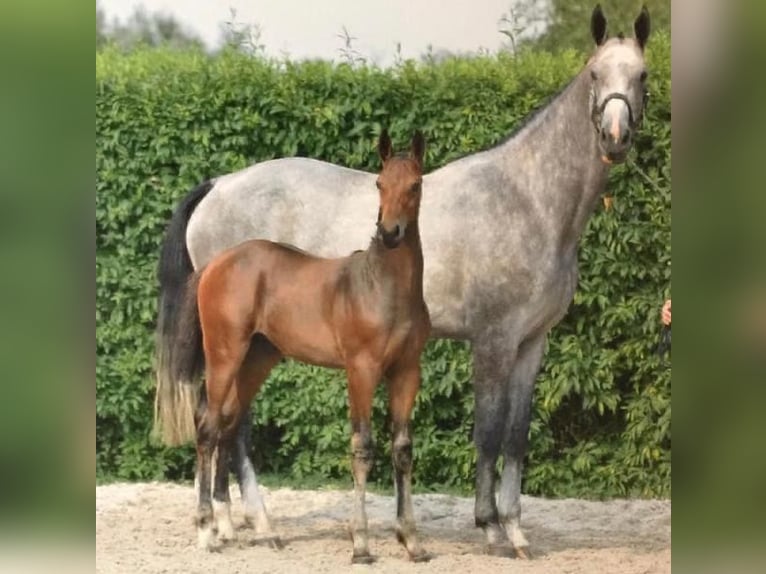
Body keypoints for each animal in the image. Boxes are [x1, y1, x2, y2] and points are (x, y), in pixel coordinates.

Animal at [185, 133, 428, 564]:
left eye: (415, 185)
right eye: (379, 183)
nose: (390, 233)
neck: (384, 287)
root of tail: (216, 264)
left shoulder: (406, 372)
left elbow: (402, 449)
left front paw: (411, 541)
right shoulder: (361, 370)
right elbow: (362, 447)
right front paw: (361, 544)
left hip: (257, 360)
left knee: (228, 424)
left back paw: (230, 528)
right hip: (224, 355)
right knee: (208, 427)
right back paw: (206, 532)